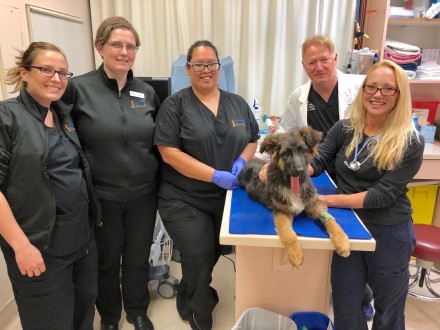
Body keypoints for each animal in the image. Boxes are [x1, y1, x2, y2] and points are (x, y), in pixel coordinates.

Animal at [239, 126, 348, 268]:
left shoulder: (313, 203)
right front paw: (296, 255)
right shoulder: (282, 210)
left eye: (303, 151)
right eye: (286, 154)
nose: (300, 170)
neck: (292, 186)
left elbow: (330, 220)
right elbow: (289, 234)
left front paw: (342, 240)